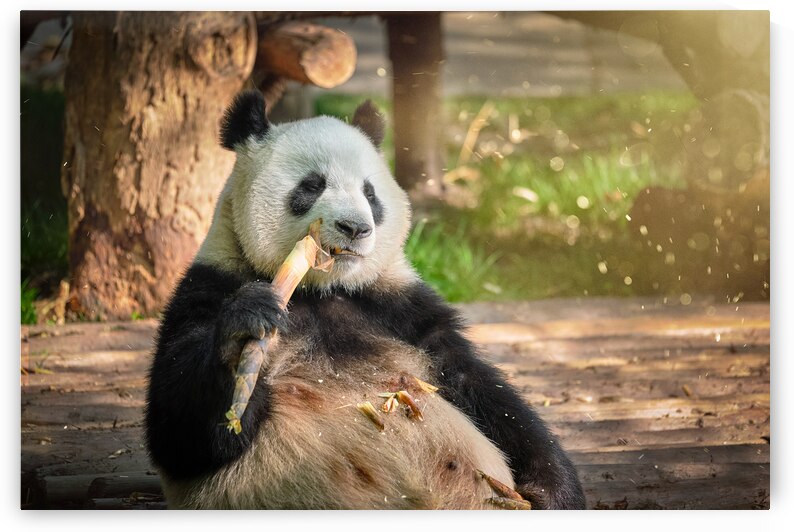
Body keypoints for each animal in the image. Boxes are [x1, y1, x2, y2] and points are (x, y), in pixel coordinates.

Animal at [144, 90, 585, 510]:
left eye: (370, 194)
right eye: (311, 186)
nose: (355, 228)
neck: (321, 289)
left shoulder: (397, 304)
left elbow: (480, 386)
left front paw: (554, 490)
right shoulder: (207, 288)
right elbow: (180, 434)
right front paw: (247, 331)